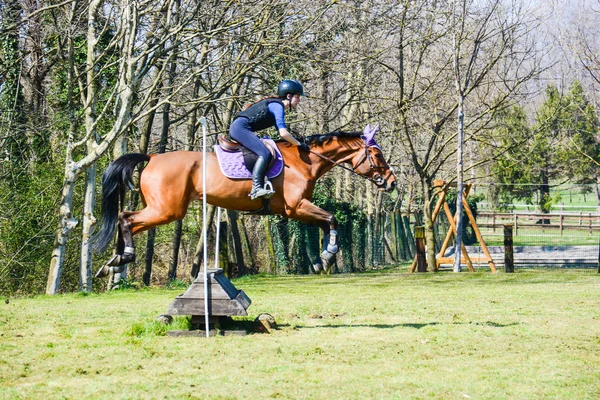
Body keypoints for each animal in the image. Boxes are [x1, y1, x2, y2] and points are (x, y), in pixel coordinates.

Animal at [92, 123, 394, 276]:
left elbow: (327, 224)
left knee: (125, 220)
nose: (391, 182)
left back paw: (115, 262)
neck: (304, 161)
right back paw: (124, 256)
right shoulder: (296, 208)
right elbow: (331, 218)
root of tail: (152, 156)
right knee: (126, 218)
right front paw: (328, 255)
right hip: (167, 210)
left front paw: (322, 259)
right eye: (377, 155)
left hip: (162, 209)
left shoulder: (298, 210)